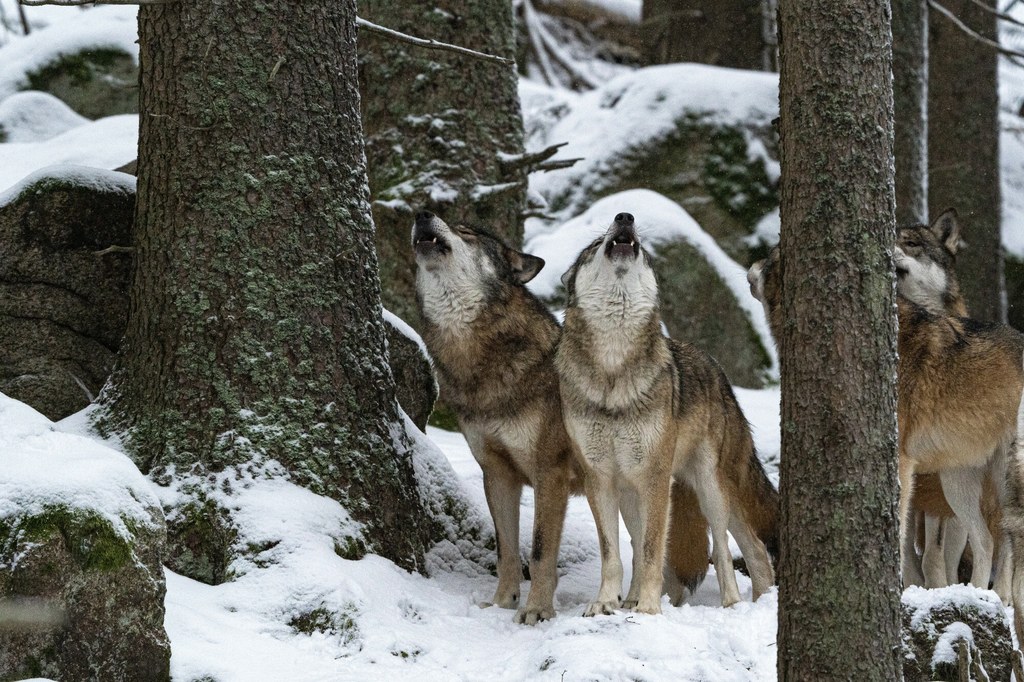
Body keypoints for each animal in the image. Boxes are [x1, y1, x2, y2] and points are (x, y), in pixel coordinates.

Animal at [409, 209, 712, 618]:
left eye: (466, 232)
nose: (422, 214)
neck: (484, 364)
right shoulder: (497, 474)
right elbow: (506, 551)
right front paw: (501, 602)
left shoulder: (548, 473)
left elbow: (539, 552)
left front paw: (536, 610)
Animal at [561, 212, 774, 610]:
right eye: (596, 245)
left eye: (643, 251)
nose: (625, 216)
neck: (613, 366)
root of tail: (717, 369)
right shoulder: (599, 478)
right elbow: (613, 554)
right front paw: (605, 603)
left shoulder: (656, 478)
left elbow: (652, 550)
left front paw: (647, 608)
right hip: (632, 493)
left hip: (710, 487)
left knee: (731, 548)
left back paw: (734, 604)